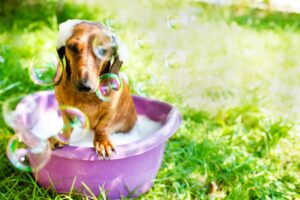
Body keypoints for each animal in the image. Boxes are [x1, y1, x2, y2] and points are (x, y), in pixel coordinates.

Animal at [50, 20, 137, 158]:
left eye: (102, 50)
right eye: (72, 47)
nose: (84, 85)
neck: (85, 97)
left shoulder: (109, 111)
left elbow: (102, 127)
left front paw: (103, 142)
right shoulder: (64, 107)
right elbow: (67, 124)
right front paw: (61, 137)